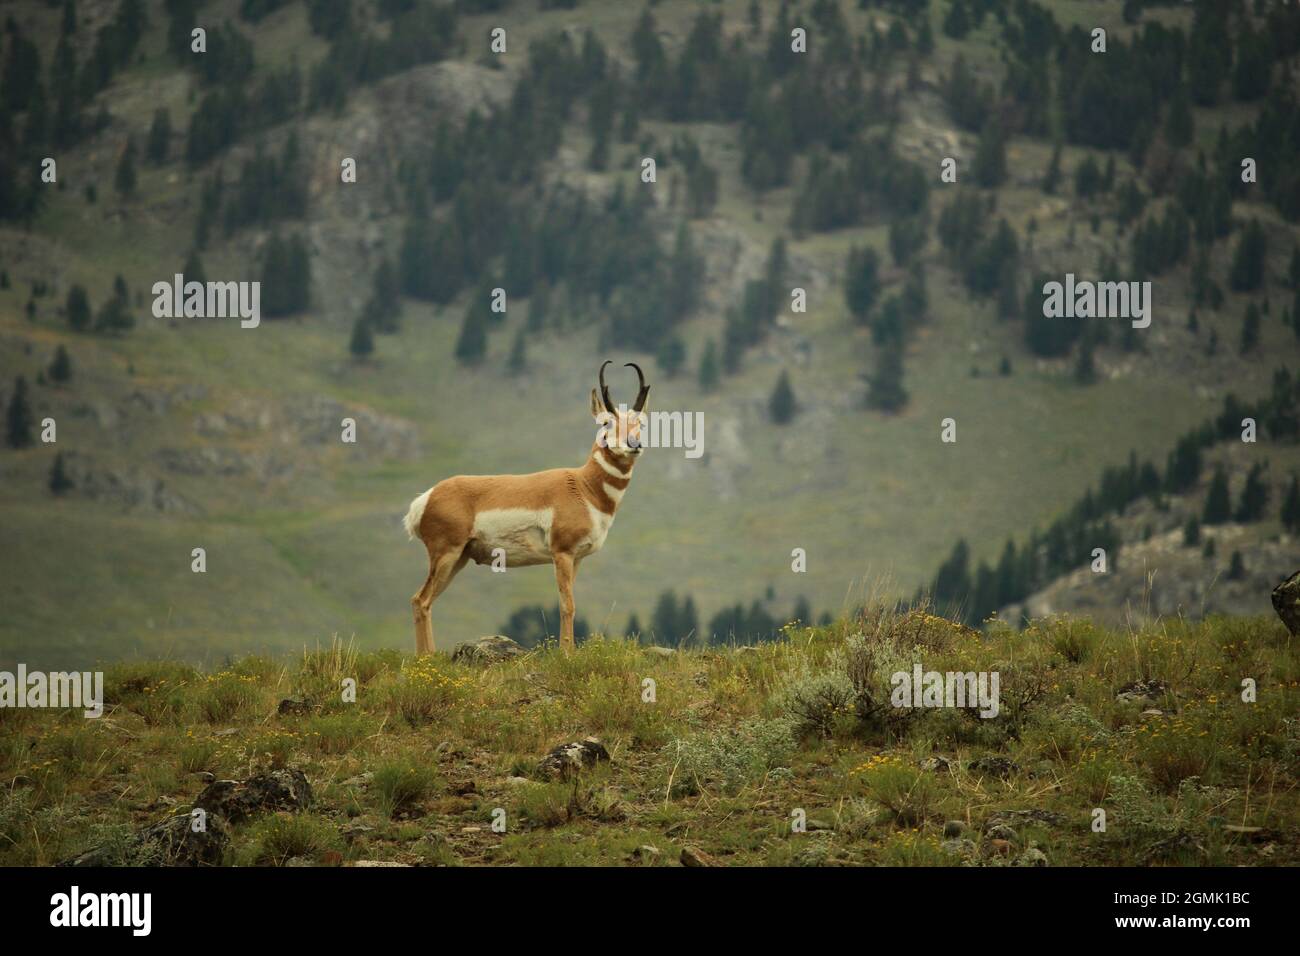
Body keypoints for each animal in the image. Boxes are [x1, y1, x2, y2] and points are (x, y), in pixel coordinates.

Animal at [403, 361, 650, 654]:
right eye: (605, 422)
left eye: (641, 423)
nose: (634, 445)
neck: (583, 486)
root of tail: (427, 497)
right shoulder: (562, 553)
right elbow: (567, 606)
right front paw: (567, 655)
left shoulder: (576, 558)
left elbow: (568, 604)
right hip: (446, 554)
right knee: (421, 599)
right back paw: (426, 657)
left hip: (458, 559)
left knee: (423, 601)